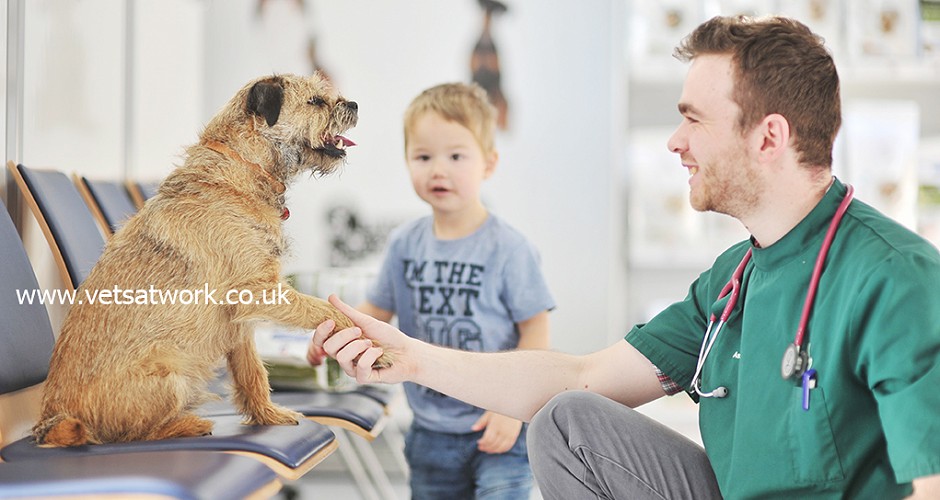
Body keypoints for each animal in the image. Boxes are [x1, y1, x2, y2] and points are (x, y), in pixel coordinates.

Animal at [34, 73, 390, 446]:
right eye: (316, 101)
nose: (354, 105)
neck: (242, 168)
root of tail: (51, 421)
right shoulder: (261, 291)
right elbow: (329, 311)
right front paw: (378, 348)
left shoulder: (240, 320)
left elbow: (253, 372)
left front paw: (268, 415)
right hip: (170, 372)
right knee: (133, 434)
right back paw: (187, 424)